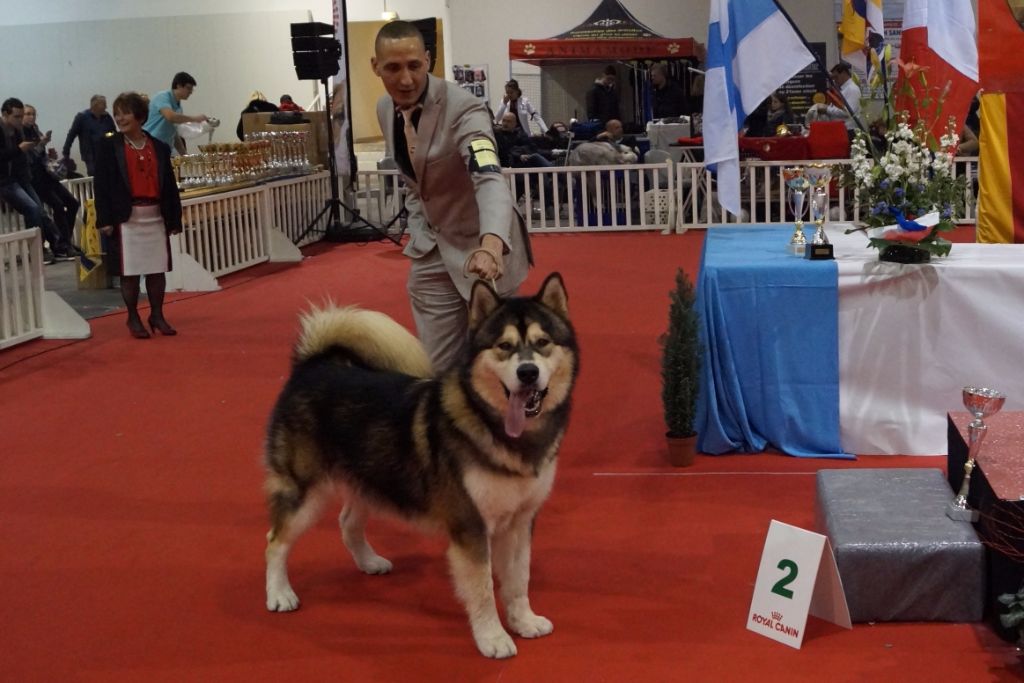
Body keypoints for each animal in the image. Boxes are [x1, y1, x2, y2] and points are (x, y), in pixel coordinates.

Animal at [264, 274, 581, 659]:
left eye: (543, 343)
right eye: (504, 346)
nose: (528, 372)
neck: (497, 427)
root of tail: (312, 365)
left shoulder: (521, 521)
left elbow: (519, 579)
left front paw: (524, 621)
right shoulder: (470, 525)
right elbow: (482, 589)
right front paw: (492, 637)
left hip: (372, 478)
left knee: (347, 522)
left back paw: (369, 562)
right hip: (305, 491)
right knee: (275, 540)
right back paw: (279, 594)